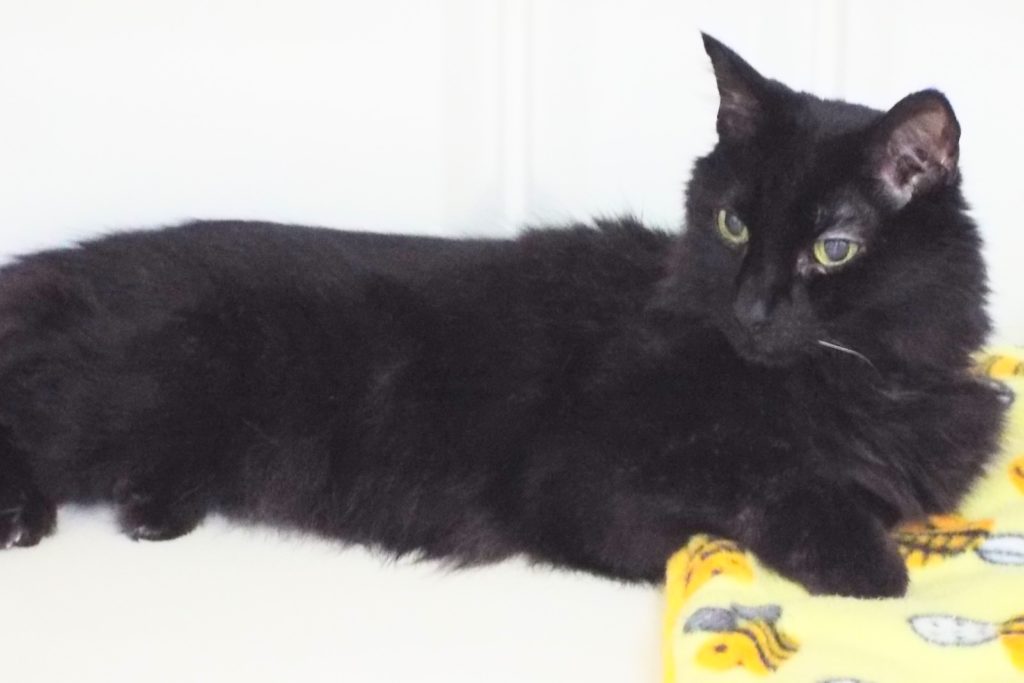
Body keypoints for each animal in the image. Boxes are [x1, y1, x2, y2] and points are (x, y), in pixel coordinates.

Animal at [0, 34, 1006, 598]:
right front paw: (867, 568)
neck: (844, 383)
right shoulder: (588, 480)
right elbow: (759, 491)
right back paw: (24, 512)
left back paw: (154, 507)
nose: (752, 307)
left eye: (833, 248)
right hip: (132, 384)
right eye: (734, 224)